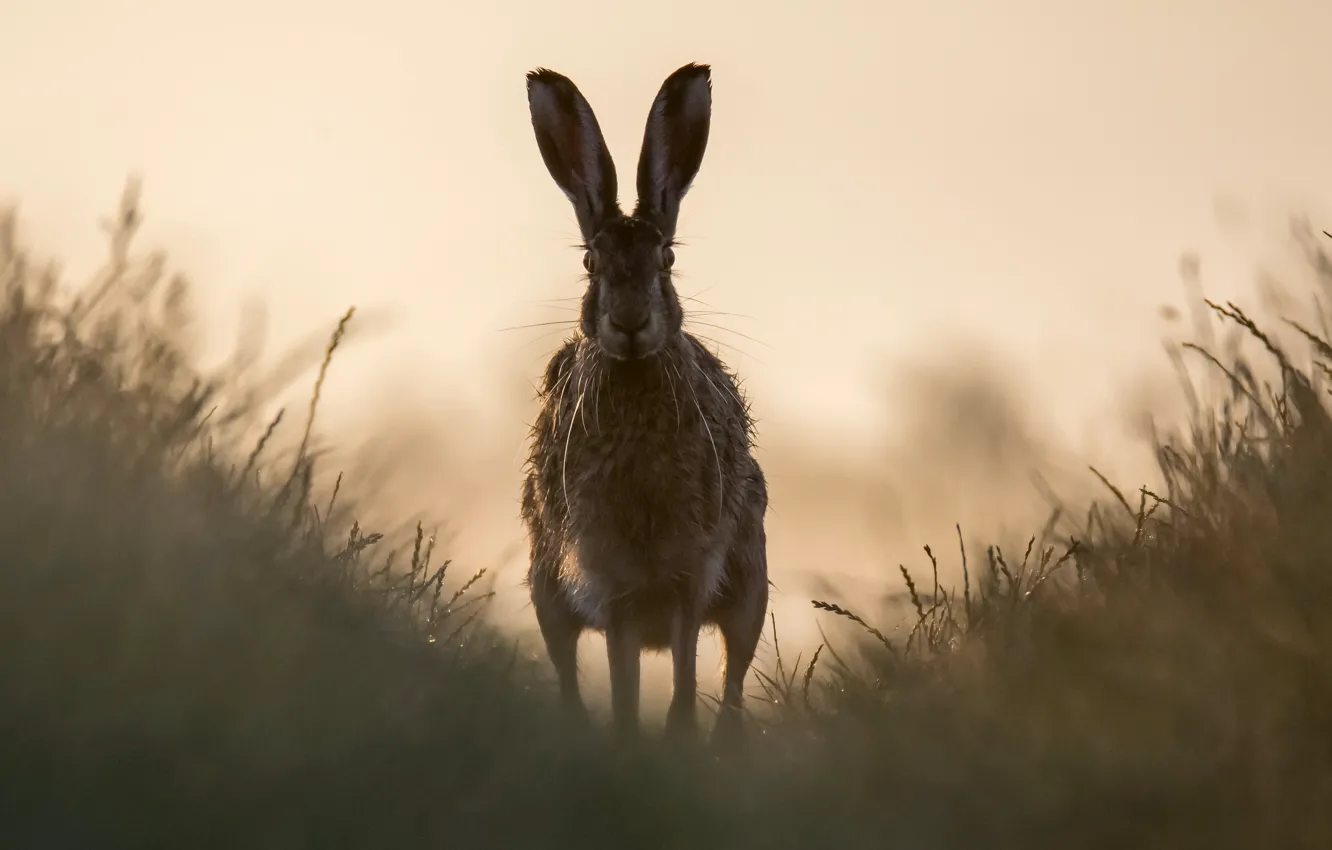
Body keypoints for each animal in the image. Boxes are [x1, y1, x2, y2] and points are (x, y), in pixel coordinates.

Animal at [520, 62, 769, 749]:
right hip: (545, 587)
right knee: (569, 668)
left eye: (668, 258)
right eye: (590, 262)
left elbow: (685, 671)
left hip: (750, 588)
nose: (630, 323)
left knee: (733, 674)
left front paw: (678, 737)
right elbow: (622, 677)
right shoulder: (612, 583)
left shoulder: (688, 572)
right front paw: (631, 739)